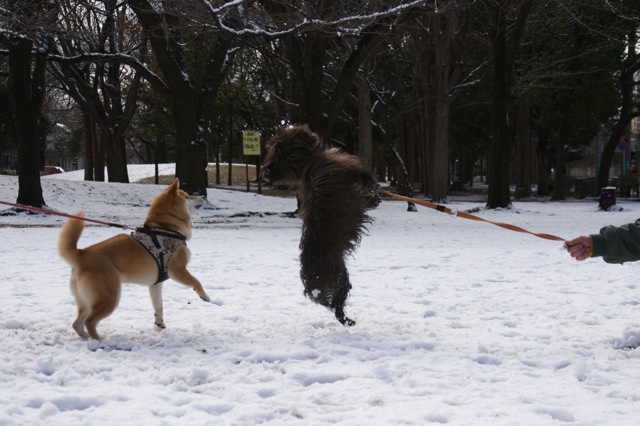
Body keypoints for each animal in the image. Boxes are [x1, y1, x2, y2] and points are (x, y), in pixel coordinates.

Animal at [58, 179, 210, 340]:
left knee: (77, 323)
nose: (203, 196)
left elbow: (158, 306)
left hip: (87, 301)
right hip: (109, 297)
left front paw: (159, 323)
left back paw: (86, 338)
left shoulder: (155, 284)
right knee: (89, 321)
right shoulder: (177, 270)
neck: (166, 228)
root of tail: (81, 254)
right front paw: (205, 296)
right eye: (187, 196)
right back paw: (98, 340)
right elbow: (196, 281)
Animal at [262, 125, 380, 324]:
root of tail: (309, 279)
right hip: (339, 276)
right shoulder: (348, 170)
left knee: (332, 305)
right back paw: (347, 320)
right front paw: (375, 188)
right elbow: (365, 180)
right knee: (337, 304)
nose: (308, 129)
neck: (310, 164)